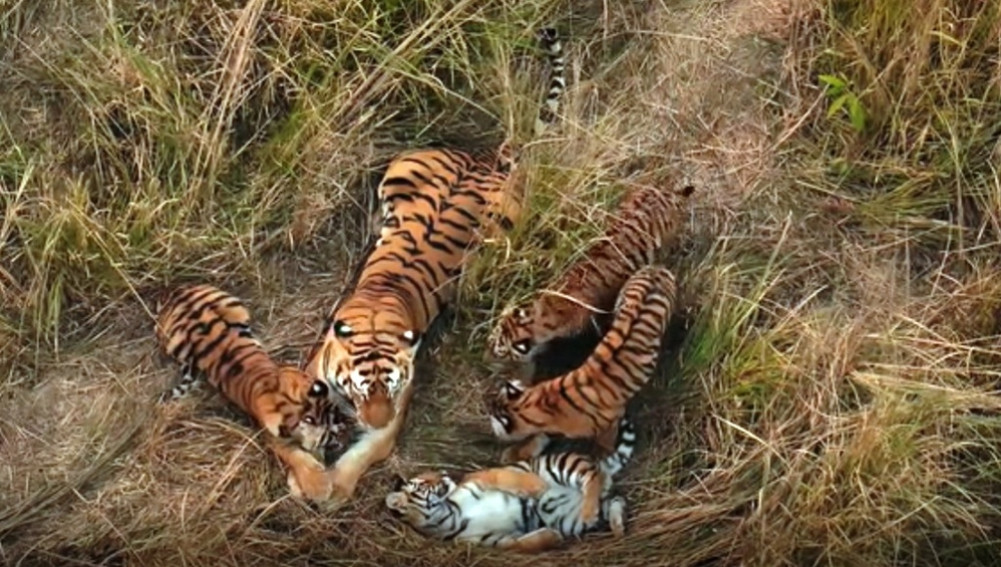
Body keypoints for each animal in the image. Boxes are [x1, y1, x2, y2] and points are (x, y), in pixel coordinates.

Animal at [155, 284, 357, 464]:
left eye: (338, 417)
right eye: (329, 437)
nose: (348, 436)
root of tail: (173, 292)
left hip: (234, 308)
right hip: (175, 343)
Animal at [300, 27, 568, 502]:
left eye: (391, 387)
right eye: (360, 387)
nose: (374, 418)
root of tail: (490, 159)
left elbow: (359, 459)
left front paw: (334, 491)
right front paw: (311, 479)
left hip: (501, 223)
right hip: (400, 169)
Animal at [385, 416, 635, 553]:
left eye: (433, 473)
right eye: (423, 482)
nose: (444, 473)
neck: (445, 516)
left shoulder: (478, 479)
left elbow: (505, 476)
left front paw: (537, 486)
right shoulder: (492, 541)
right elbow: (520, 545)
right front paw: (551, 537)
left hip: (561, 464)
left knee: (592, 476)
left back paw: (591, 508)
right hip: (570, 518)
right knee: (615, 498)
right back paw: (617, 526)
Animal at [488, 265, 676, 463]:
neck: (545, 402)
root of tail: (657, 268)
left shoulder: (612, 420)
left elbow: (605, 442)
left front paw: (603, 456)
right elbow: (541, 436)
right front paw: (514, 454)